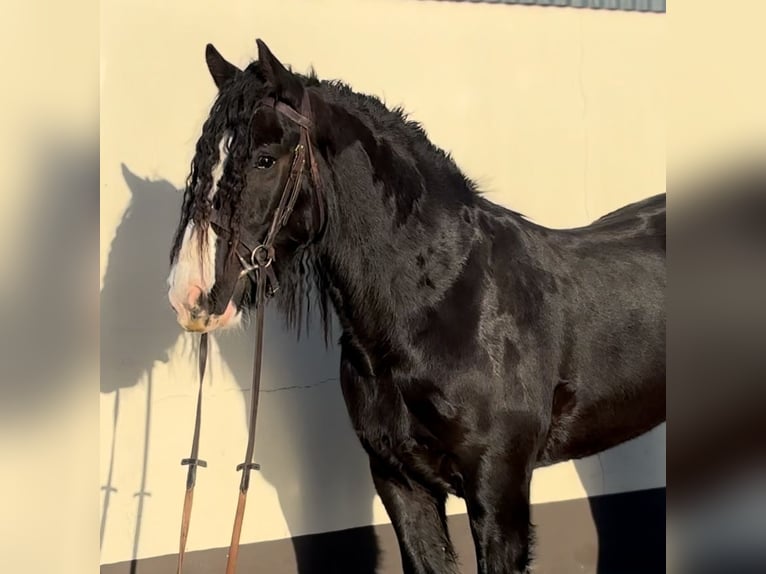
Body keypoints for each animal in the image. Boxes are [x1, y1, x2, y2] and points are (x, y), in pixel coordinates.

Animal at [168, 41, 664, 574]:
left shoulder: (499, 490)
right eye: (202, 163)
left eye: (263, 159)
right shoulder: (399, 481)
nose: (189, 293)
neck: (445, 304)